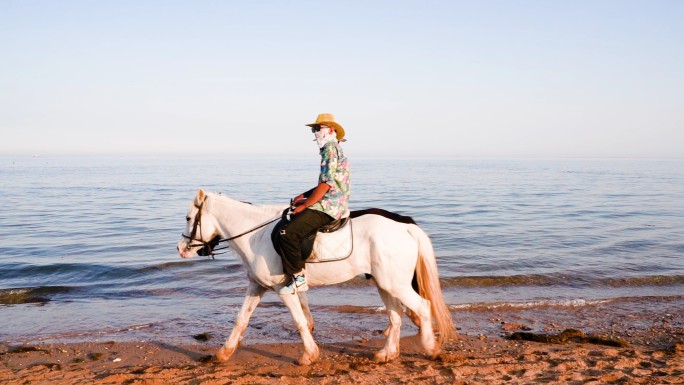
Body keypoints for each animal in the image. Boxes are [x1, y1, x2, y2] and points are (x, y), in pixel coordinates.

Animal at [176, 189, 454, 366]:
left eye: (189, 218)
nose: (181, 248)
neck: (256, 235)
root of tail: (406, 226)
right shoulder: (257, 285)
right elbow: (241, 319)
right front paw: (224, 353)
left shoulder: (284, 288)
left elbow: (300, 321)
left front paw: (309, 355)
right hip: (385, 283)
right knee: (395, 314)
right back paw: (387, 354)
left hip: (394, 284)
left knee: (422, 307)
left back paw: (430, 348)